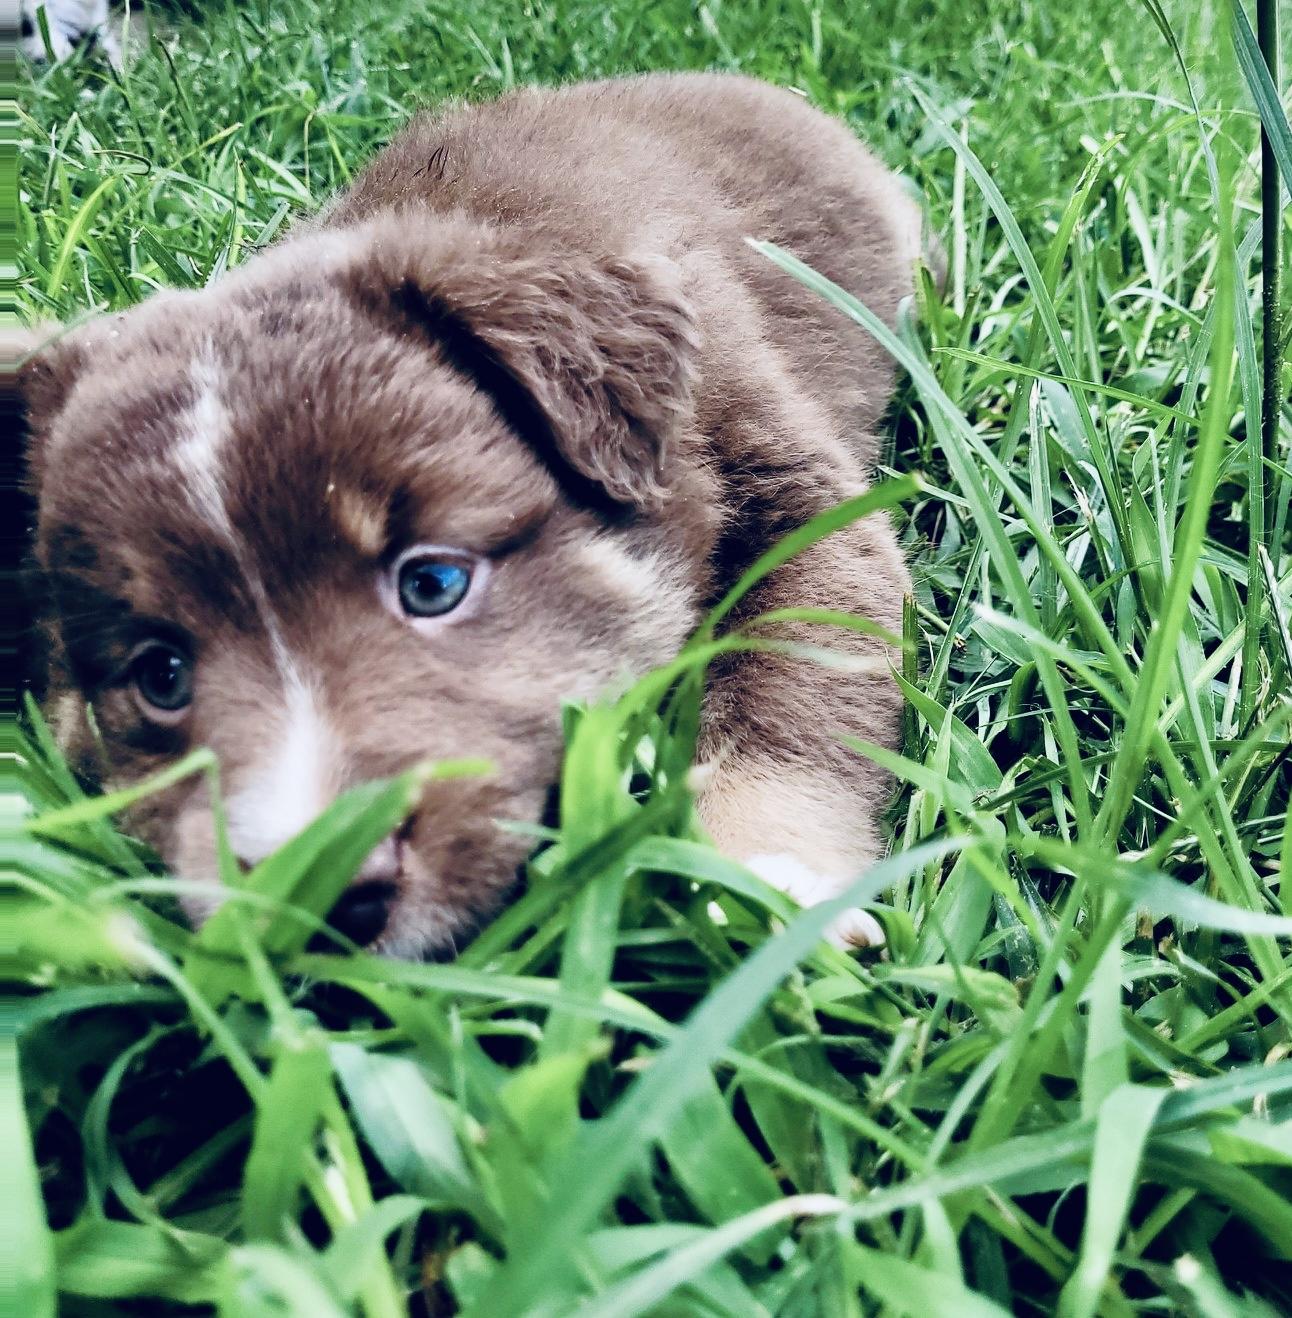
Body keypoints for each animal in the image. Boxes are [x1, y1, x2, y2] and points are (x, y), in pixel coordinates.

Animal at [17, 74, 923, 956]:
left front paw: (770, 884)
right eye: (160, 675)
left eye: (434, 584)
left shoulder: (790, 490)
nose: (324, 896)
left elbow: (790, 691)